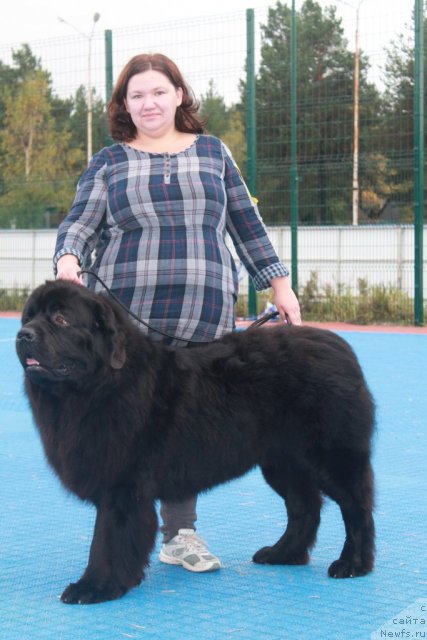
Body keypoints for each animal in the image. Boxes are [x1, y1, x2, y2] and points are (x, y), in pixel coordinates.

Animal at [15, 282, 376, 604]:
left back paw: (353, 564)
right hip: (282, 461)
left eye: (60, 319)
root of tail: (342, 348)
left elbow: (107, 539)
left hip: (331, 456)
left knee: (356, 506)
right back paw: (283, 553)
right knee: (305, 506)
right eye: (27, 317)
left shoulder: (122, 486)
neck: (101, 385)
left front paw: (94, 586)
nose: (23, 336)